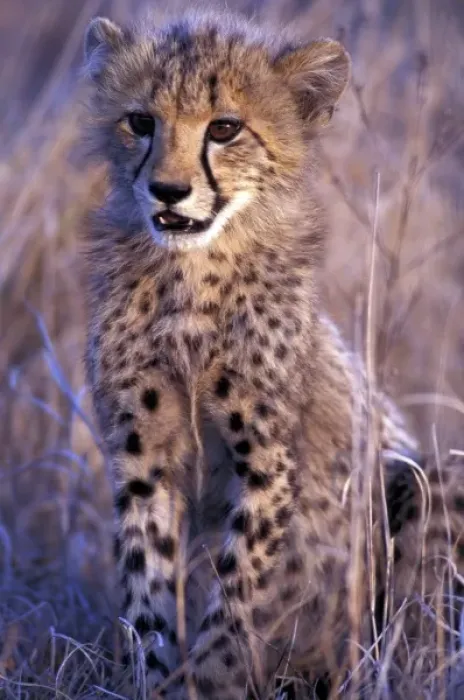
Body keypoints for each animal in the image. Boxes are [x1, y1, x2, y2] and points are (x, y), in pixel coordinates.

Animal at [80, 10, 464, 699]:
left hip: (432, 477)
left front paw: (209, 679)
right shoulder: (141, 458)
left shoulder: (267, 460)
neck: (191, 278)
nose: (168, 190)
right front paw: (155, 679)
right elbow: (148, 589)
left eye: (225, 128)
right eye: (140, 121)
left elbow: (240, 592)